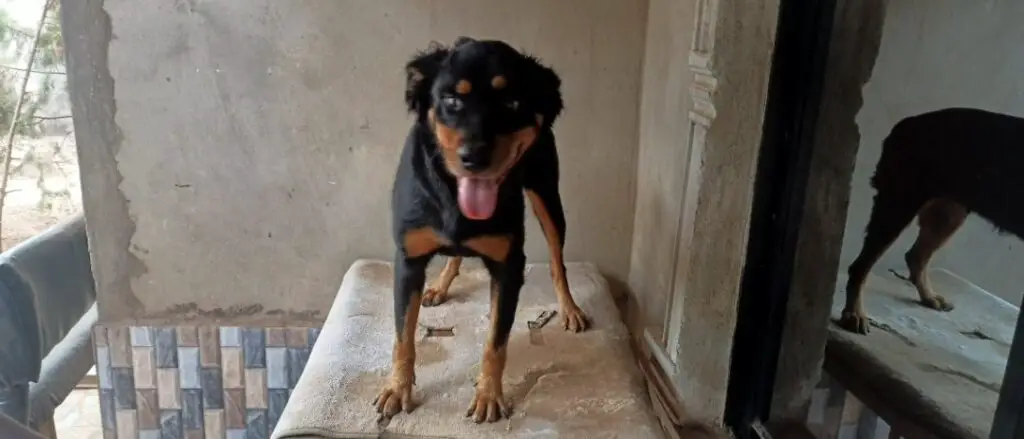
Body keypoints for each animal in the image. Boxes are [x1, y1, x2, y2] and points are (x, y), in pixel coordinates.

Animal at [372, 38, 589, 423]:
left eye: (512, 102)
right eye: (452, 100)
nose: (474, 157)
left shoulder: (509, 266)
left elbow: (495, 342)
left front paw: (489, 396)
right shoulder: (408, 261)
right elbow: (403, 336)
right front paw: (397, 388)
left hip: (547, 195)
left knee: (556, 259)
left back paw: (569, 308)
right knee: (455, 256)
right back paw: (440, 285)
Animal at [839, 107, 1024, 333]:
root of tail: (907, 123)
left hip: (948, 212)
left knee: (916, 256)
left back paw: (929, 297)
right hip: (899, 203)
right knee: (861, 266)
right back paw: (854, 313)